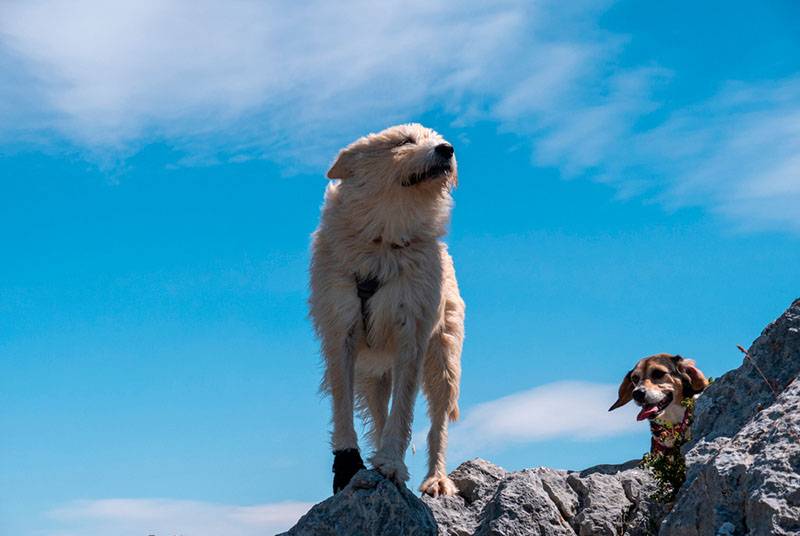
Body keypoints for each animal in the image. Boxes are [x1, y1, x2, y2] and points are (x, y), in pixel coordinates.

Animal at [310, 123, 466, 496]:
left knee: (437, 422)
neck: (385, 233)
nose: (447, 148)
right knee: (379, 413)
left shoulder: (412, 335)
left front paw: (393, 463)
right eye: (404, 141)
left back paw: (436, 478)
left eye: (435, 139)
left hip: (443, 360)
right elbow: (342, 405)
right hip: (374, 375)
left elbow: (405, 409)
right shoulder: (340, 331)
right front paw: (348, 464)